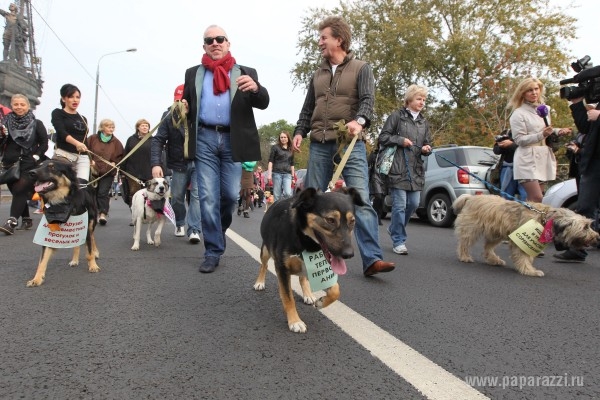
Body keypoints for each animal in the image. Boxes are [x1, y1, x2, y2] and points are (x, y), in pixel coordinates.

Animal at [25, 159, 100, 288]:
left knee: (92, 237)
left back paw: (95, 253)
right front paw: (37, 279)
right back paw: (74, 260)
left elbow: (89, 250)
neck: (62, 202)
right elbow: (42, 260)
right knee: (77, 244)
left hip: (91, 222)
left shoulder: (84, 226)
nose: (31, 173)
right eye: (39, 165)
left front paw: (93, 265)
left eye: (52, 167)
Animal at [252, 189, 360, 332]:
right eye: (330, 220)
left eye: (352, 221)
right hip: (265, 250)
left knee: (302, 278)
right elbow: (288, 297)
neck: (305, 239)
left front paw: (321, 302)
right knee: (263, 266)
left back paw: (308, 294)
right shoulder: (282, 268)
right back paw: (259, 282)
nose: (348, 254)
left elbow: (336, 290)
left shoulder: (321, 267)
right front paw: (295, 321)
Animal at [452, 195, 596, 276]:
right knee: (464, 243)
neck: (546, 220)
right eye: (585, 227)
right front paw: (529, 270)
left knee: (488, 247)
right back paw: (464, 256)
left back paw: (494, 260)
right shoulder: (520, 242)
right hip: (471, 229)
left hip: (496, 233)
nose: (596, 237)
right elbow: (523, 257)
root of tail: (471, 197)